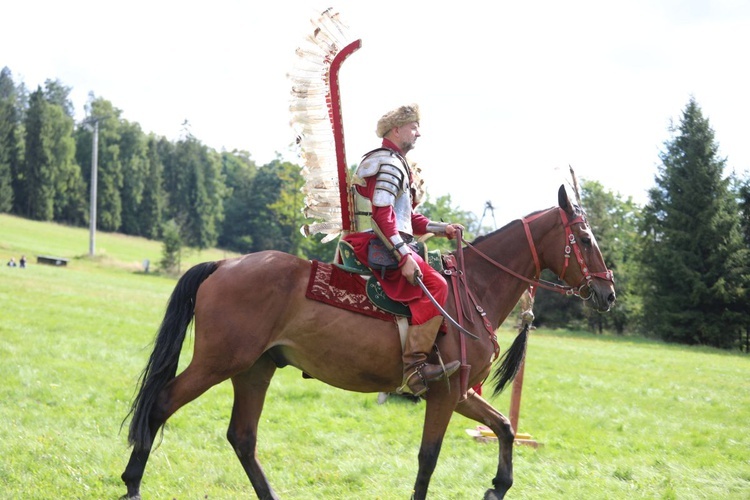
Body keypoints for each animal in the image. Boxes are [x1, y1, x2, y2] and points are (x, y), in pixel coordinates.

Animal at [122, 186, 616, 498]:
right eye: (584, 238)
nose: (608, 292)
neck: (474, 288)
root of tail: (224, 265)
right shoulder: (445, 394)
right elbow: (428, 458)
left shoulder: (462, 393)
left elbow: (506, 427)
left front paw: (499, 487)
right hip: (218, 362)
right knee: (161, 402)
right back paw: (132, 484)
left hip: (254, 369)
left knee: (242, 436)